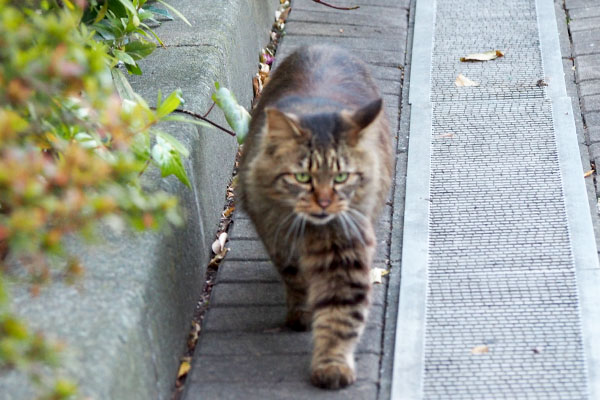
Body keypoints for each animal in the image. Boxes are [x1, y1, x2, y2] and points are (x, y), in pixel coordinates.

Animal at [234, 44, 394, 390]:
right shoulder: (277, 237)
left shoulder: (345, 249)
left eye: (342, 177)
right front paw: (302, 313)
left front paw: (332, 364)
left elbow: (340, 314)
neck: (310, 232)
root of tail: (325, 45)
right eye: (302, 177)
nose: (323, 203)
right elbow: (295, 279)